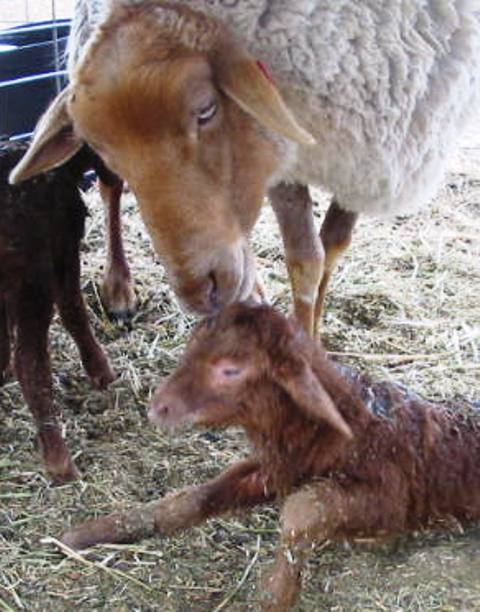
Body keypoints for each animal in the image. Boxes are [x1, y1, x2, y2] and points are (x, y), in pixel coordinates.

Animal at [0, 142, 114, 482]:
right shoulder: (63, 246)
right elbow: (73, 309)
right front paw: (100, 370)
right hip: (34, 278)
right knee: (30, 361)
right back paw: (59, 461)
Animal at [8, 1, 480, 334]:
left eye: (206, 110)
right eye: (101, 146)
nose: (200, 294)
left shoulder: (363, 159)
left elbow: (332, 249)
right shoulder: (282, 149)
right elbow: (305, 261)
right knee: (110, 190)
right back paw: (121, 288)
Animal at [62, 304, 480, 608]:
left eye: (231, 369)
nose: (157, 408)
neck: (341, 430)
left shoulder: (390, 498)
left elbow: (302, 510)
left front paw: (276, 593)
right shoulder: (279, 467)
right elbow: (196, 496)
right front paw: (95, 531)